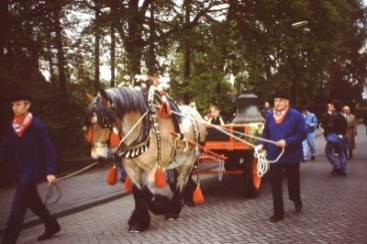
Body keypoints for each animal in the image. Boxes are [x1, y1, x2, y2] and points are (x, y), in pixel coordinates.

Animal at [85, 85, 207, 232]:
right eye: (90, 123)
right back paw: (187, 199)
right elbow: (138, 193)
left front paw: (162, 206)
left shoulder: (156, 167)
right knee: (182, 179)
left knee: (181, 181)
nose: (98, 156)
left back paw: (173, 210)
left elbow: (148, 194)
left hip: (190, 158)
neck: (144, 131)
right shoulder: (131, 168)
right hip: (179, 159)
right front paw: (138, 221)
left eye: (106, 121)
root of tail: (194, 111)